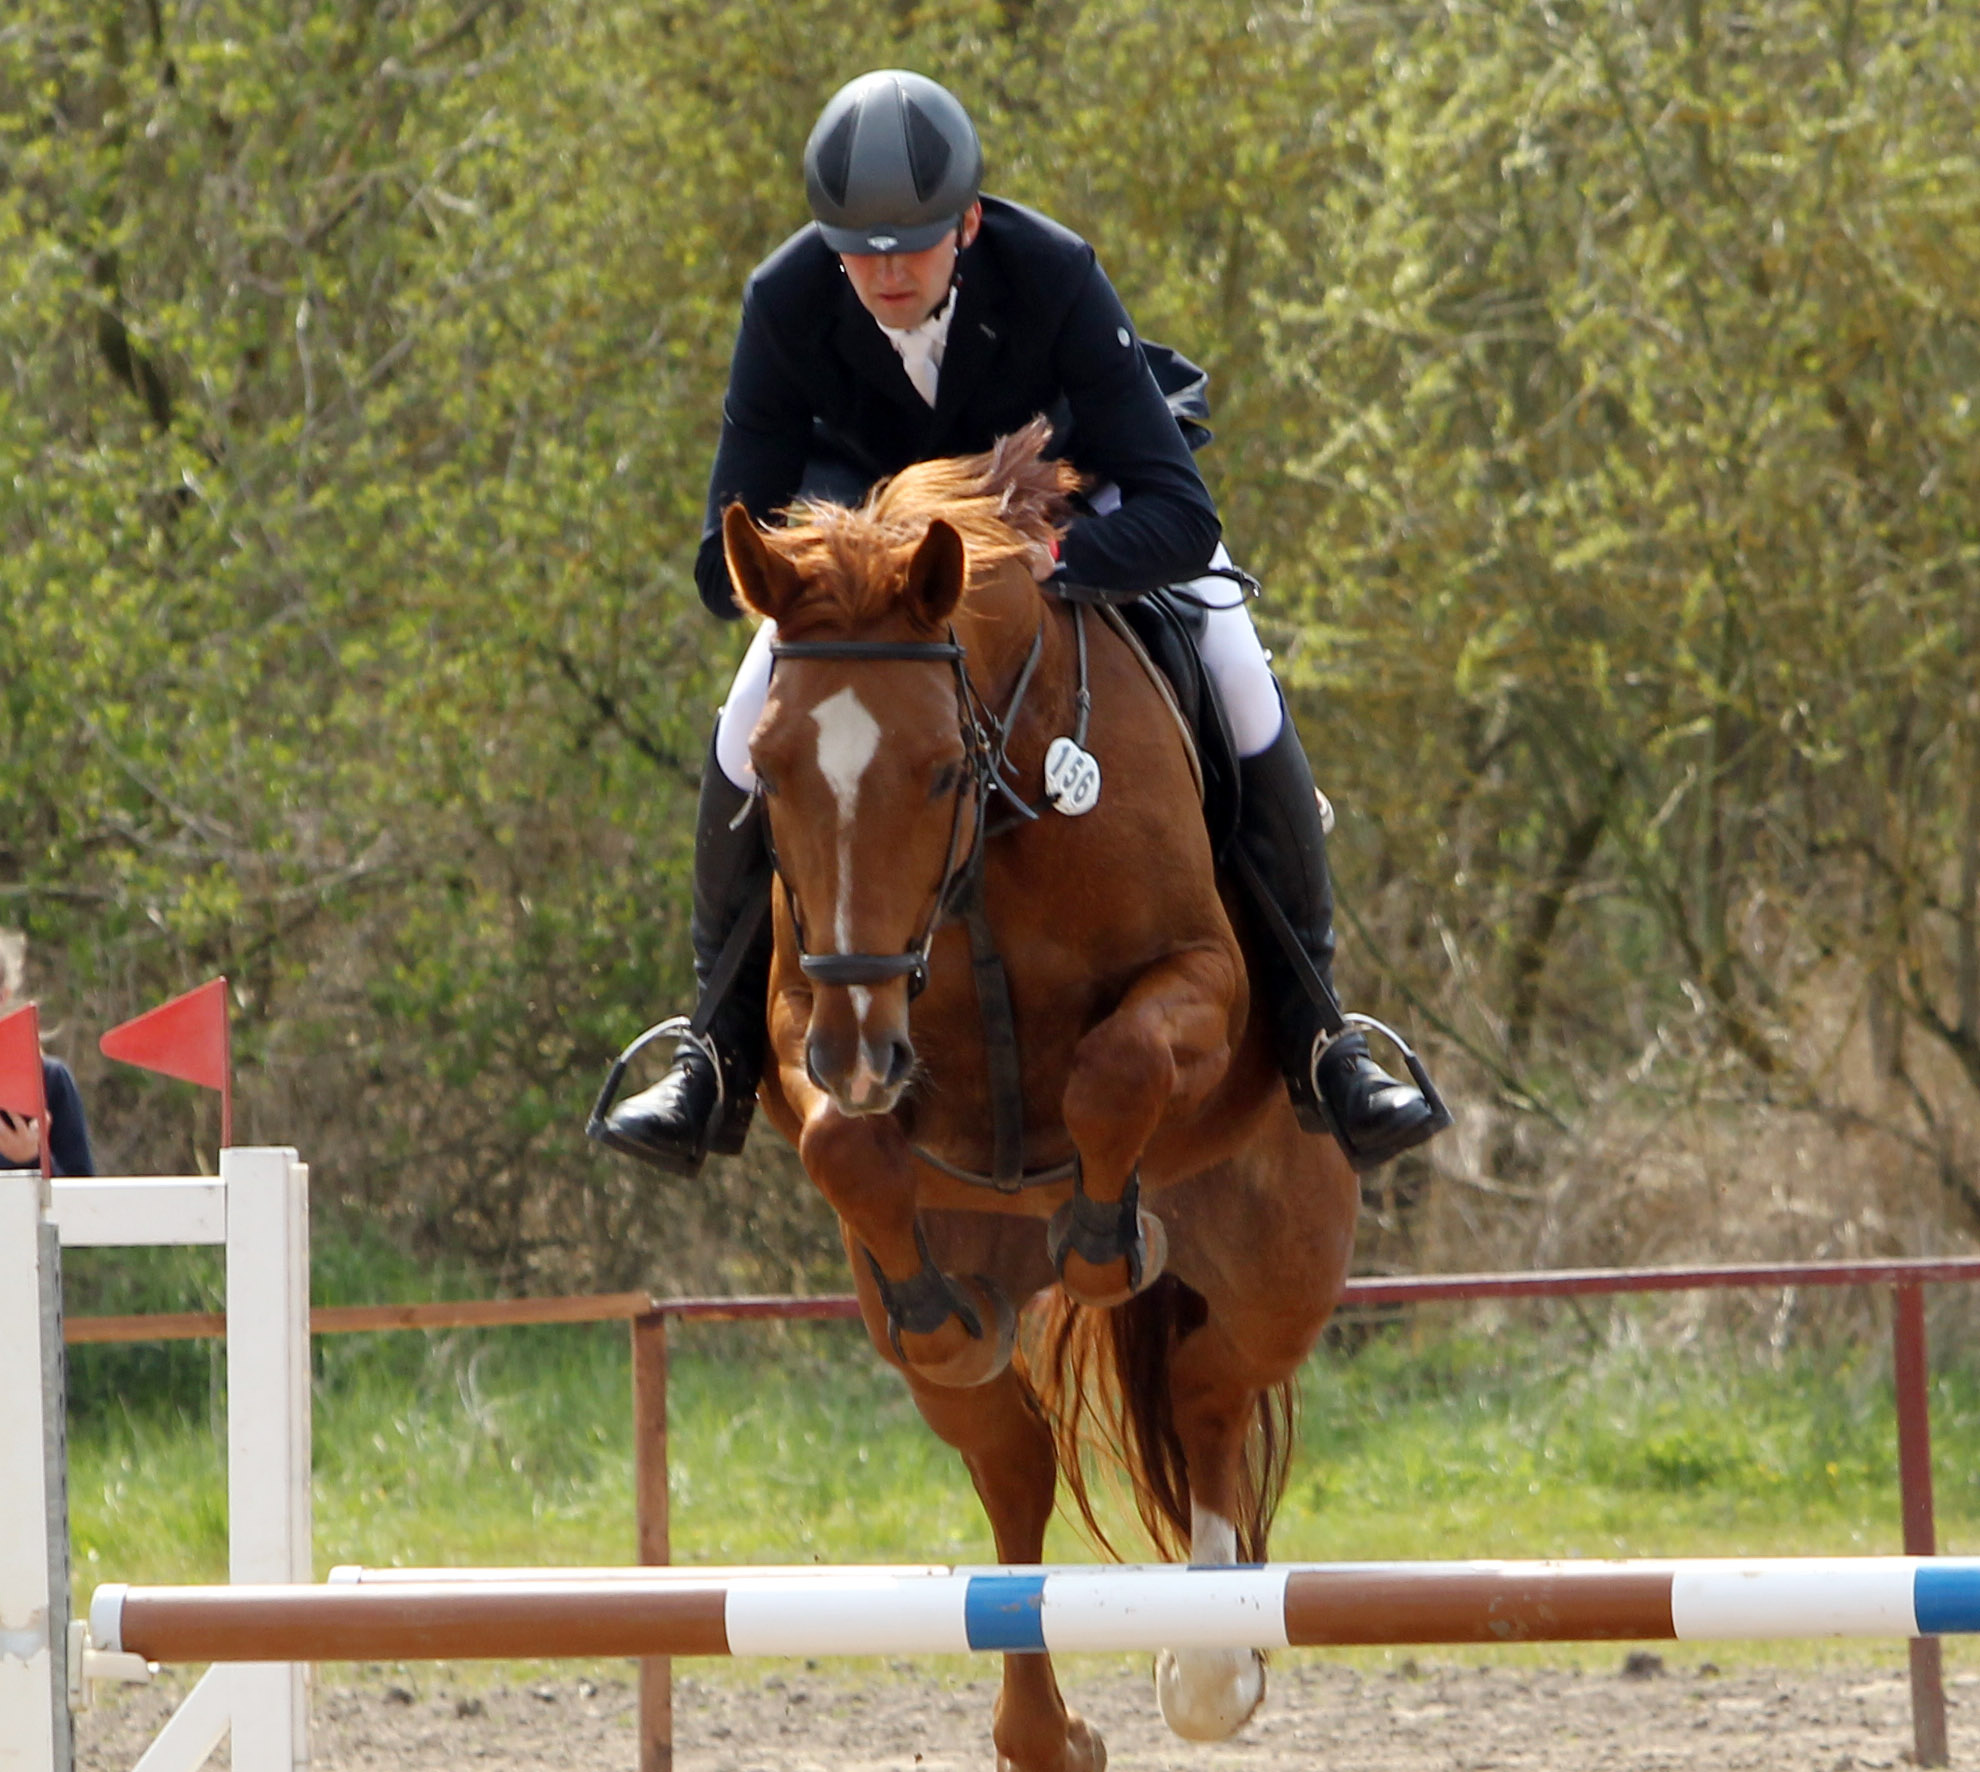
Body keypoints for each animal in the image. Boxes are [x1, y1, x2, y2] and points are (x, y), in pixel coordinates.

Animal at [728, 429, 1362, 1772]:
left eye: (934, 771)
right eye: (767, 769)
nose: (867, 1052)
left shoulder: (1205, 982)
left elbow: (1115, 1069)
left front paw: (1106, 1238)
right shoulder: (810, 1014)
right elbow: (845, 1145)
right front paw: (943, 1292)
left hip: (1285, 1260)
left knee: (1209, 1384)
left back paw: (1211, 1660)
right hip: (938, 1310)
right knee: (1011, 1460)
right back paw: (1043, 1725)